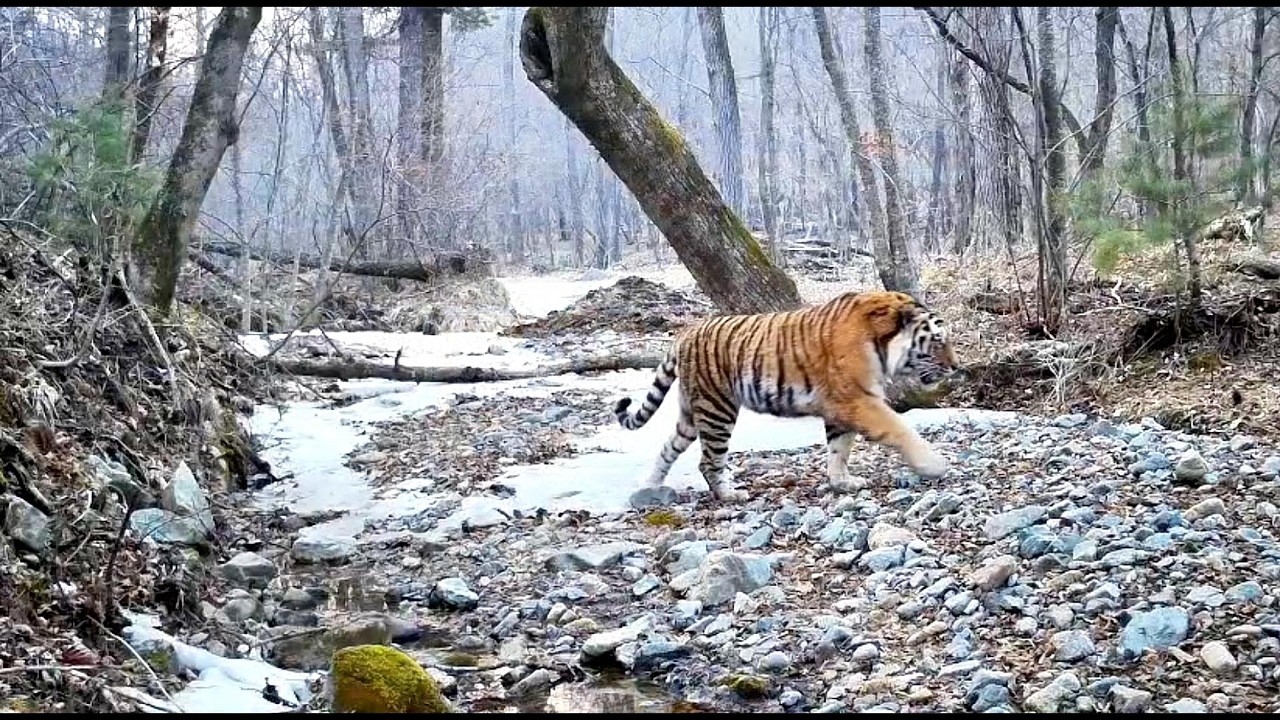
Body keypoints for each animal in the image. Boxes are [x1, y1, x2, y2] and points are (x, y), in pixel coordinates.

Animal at [612, 290, 961, 503]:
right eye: (938, 341)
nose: (957, 366)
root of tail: (685, 334)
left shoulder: (842, 407)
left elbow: (839, 449)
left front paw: (842, 482)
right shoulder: (859, 400)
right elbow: (900, 429)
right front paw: (933, 465)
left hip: (692, 411)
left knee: (669, 447)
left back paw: (650, 485)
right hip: (717, 408)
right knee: (709, 460)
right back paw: (730, 495)